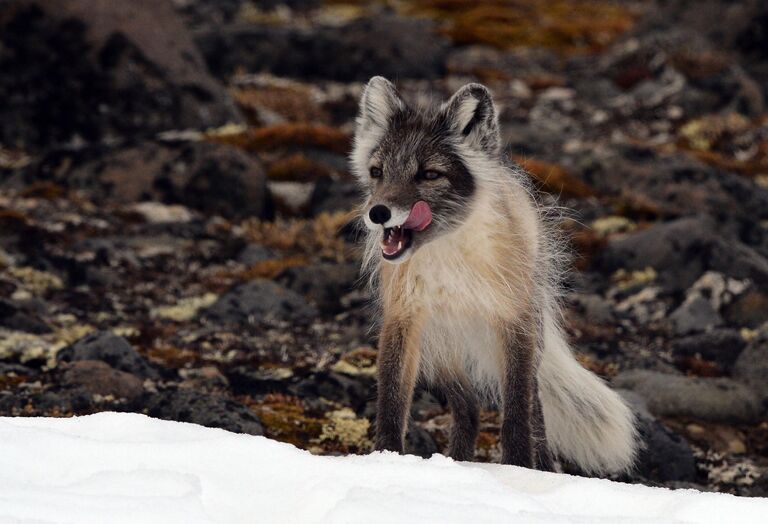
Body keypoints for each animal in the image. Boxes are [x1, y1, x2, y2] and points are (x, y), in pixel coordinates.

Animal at [350, 75, 636, 472]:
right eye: (377, 172)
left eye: (429, 174)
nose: (378, 213)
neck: (451, 257)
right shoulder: (403, 319)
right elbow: (391, 405)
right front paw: (386, 458)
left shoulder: (512, 323)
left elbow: (517, 415)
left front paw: (519, 468)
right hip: (442, 354)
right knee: (468, 409)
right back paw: (457, 461)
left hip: (526, 337)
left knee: (534, 409)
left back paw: (542, 465)